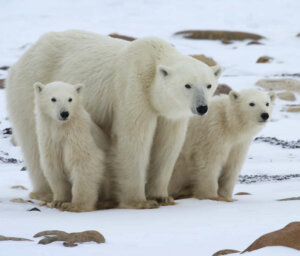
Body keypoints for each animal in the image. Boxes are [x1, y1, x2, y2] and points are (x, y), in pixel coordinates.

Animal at [33, 81, 107, 211]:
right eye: (53, 99)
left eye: (70, 99)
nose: (64, 113)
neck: (61, 129)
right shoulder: (50, 141)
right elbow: (54, 167)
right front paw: (58, 201)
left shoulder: (77, 136)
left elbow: (85, 162)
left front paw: (75, 205)